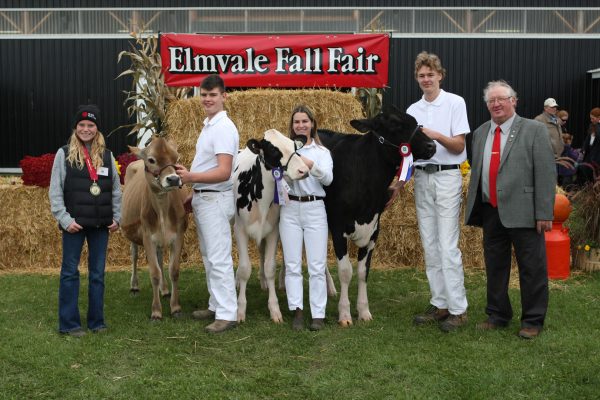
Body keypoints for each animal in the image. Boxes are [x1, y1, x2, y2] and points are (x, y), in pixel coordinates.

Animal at [318, 108, 436, 324]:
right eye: (394, 124)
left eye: (415, 121)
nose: (432, 145)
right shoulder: (338, 227)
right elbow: (346, 271)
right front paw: (345, 314)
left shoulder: (374, 229)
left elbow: (363, 271)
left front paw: (364, 311)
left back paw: (328, 288)